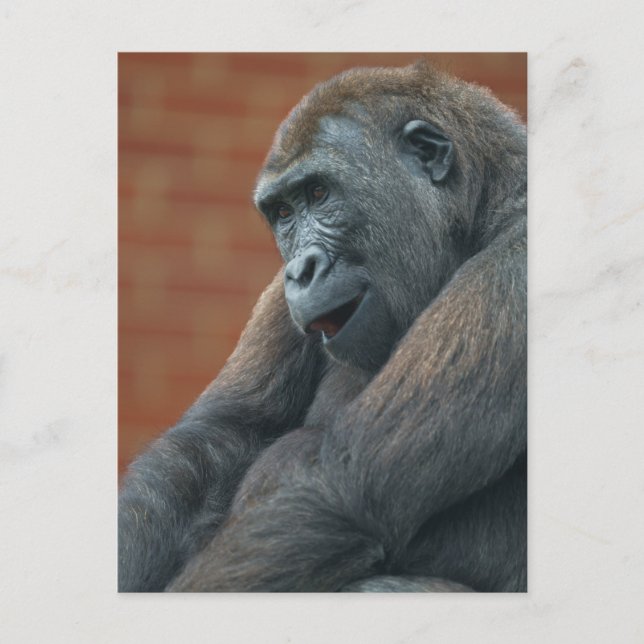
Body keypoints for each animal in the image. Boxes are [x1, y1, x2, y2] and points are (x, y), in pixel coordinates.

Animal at [119, 60, 527, 592]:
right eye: (284, 214)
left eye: (318, 193)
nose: (300, 271)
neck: (481, 205)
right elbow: (217, 440)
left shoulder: (515, 265)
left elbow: (341, 489)